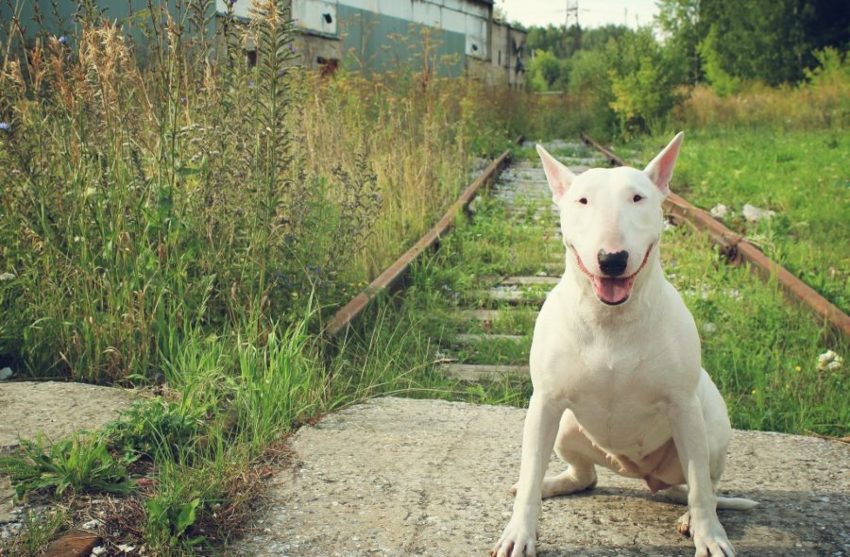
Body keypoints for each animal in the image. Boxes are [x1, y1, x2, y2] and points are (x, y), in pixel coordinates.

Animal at [490, 135, 756, 556]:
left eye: (637, 198)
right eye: (582, 200)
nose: (612, 259)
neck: (610, 320)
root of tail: (638, 472)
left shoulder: (683, 407)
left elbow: (699, 486)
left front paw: (710, 537)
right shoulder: (545, 403)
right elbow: (530, 471)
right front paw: (519, 532)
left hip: (709, 431)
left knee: (706, 486)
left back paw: (691, 519)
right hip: (566, 427)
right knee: (585, 476)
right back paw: (554, 483)